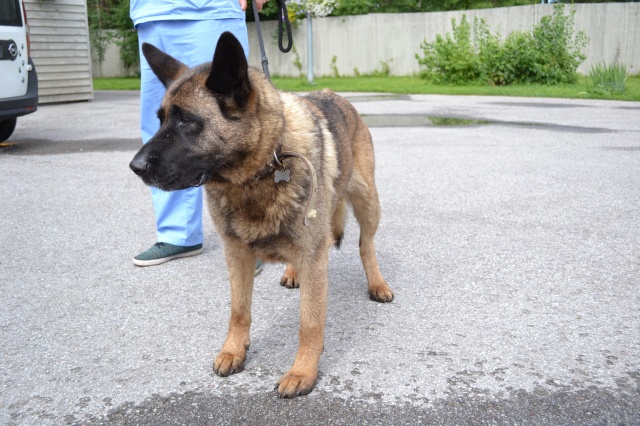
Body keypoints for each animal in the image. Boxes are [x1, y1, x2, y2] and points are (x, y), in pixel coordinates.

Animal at [129, 32, 394, 398]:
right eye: (161, 120)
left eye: (187, 122)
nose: (135, 167)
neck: (262, 170)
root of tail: (334, 95)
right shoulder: (236, 254)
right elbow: (239, 311)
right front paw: (233, 351)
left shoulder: (313, 257)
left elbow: (310, 323)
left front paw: (303, 371)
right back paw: (293, 272)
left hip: (368, 203)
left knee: (366, 247)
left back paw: (377, 283)